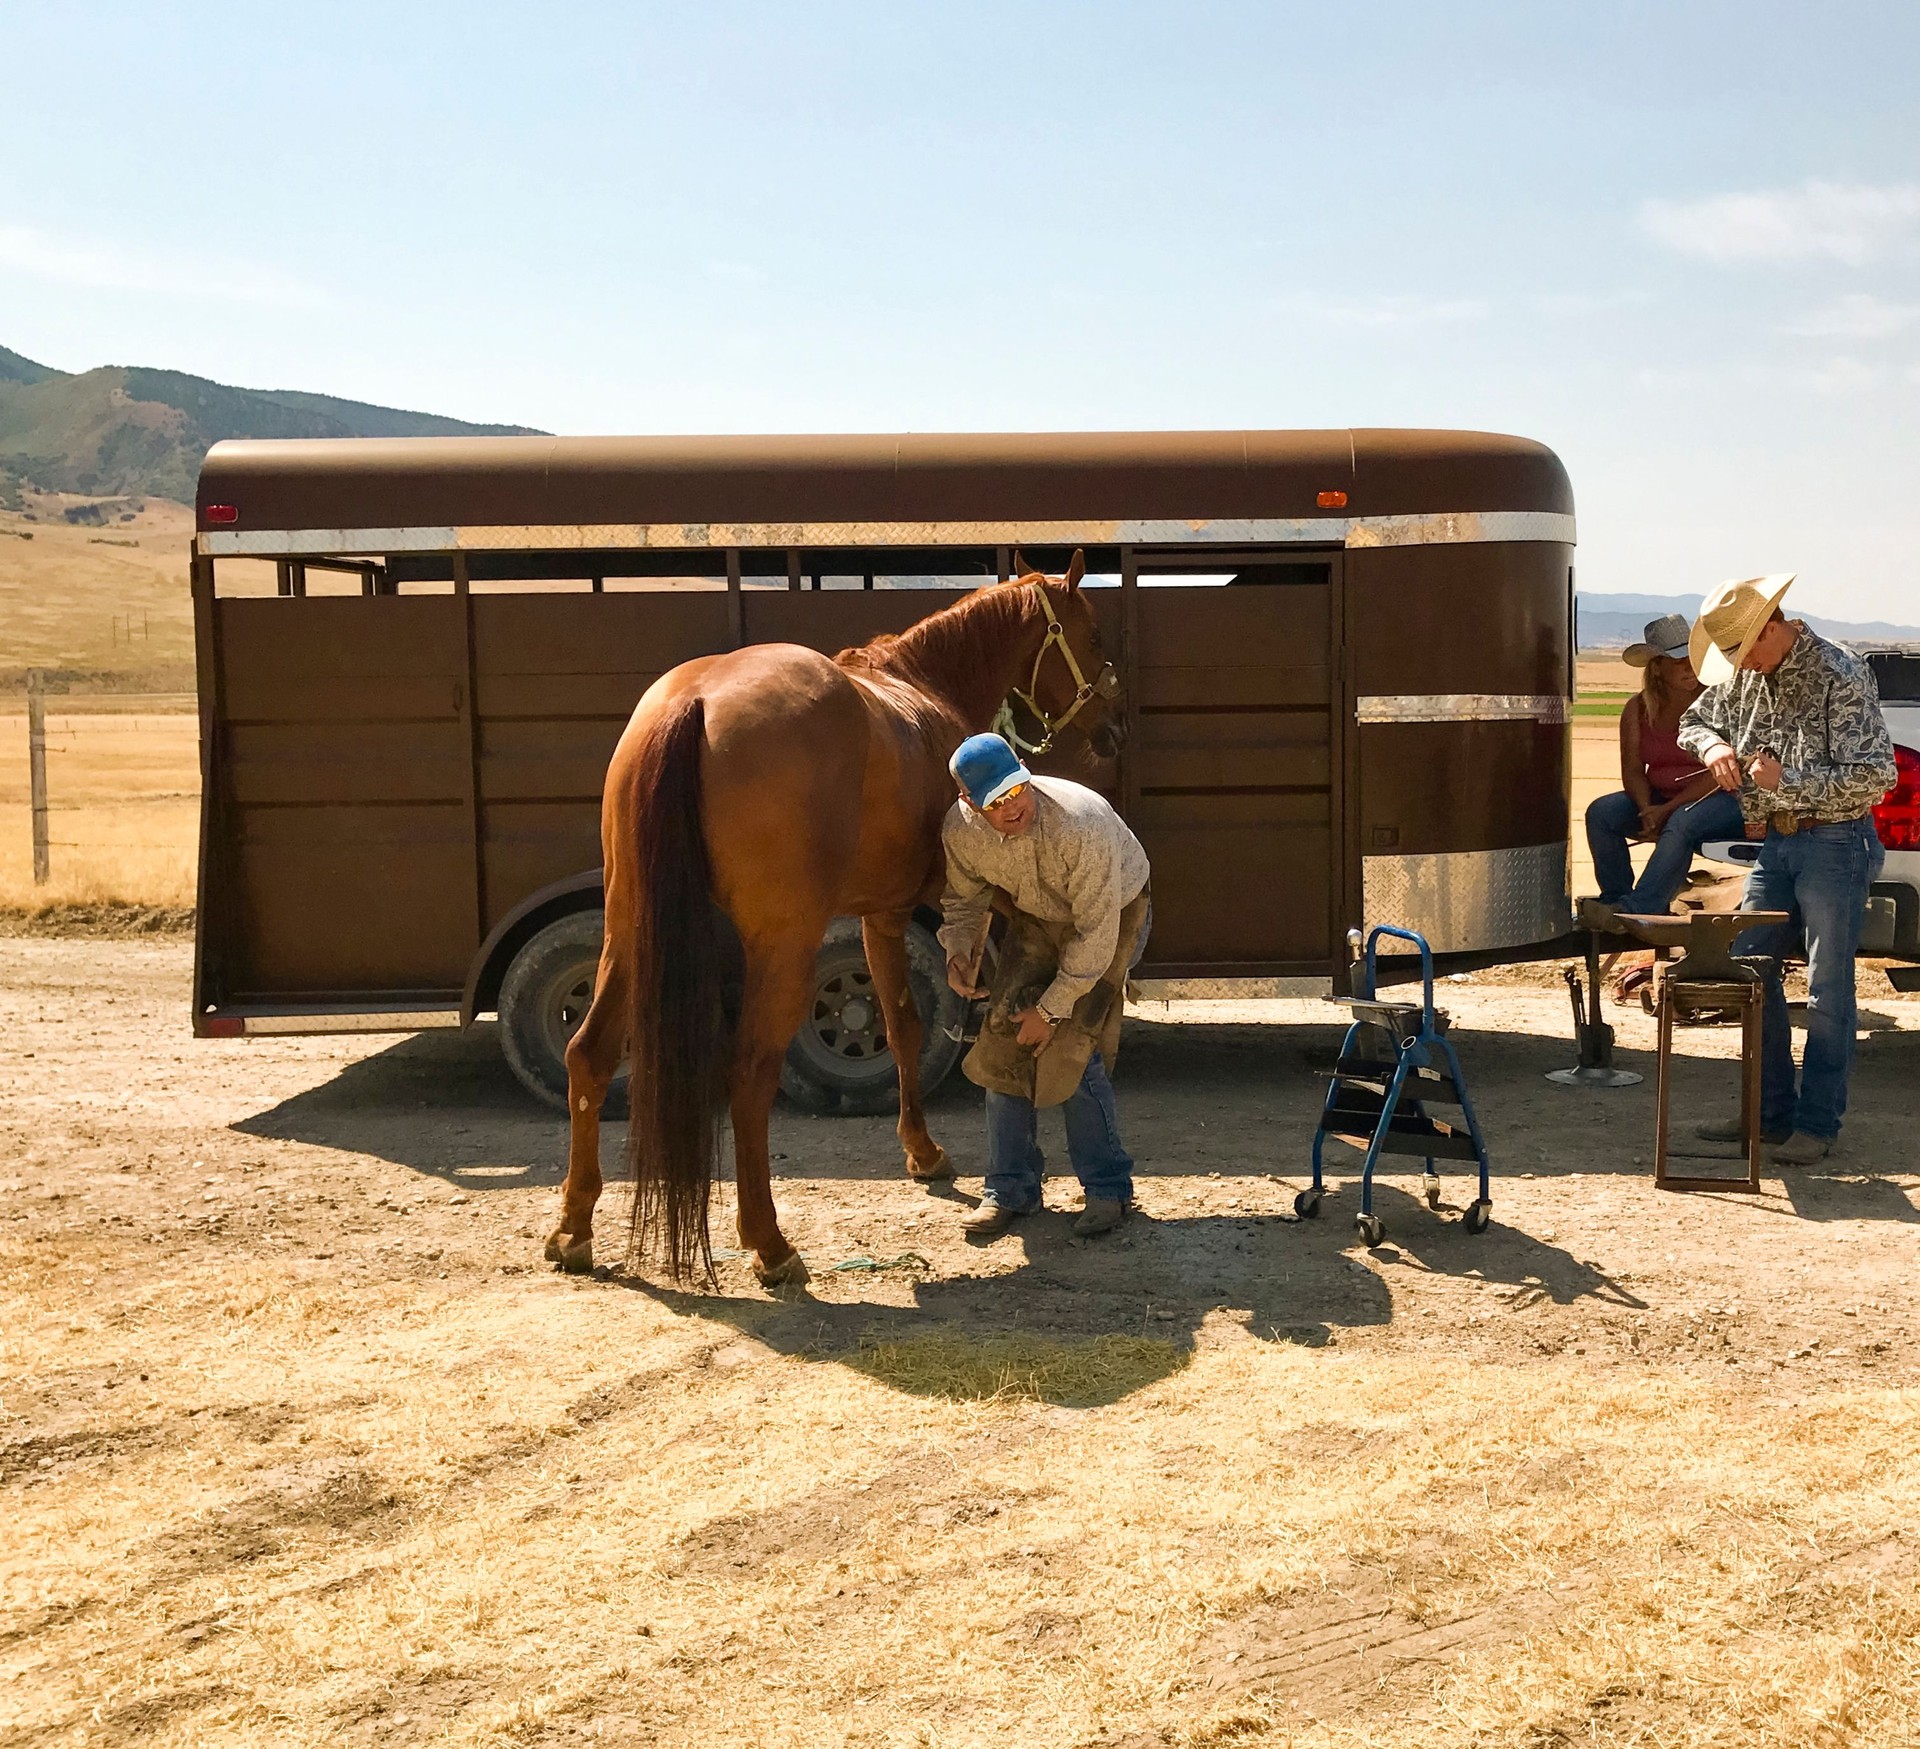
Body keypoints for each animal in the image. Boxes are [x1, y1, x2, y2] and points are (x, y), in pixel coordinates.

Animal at [541, 556, 1121, 1282]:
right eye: (1093, 635)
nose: (1111, 728)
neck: (919, 684)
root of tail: (694, 701)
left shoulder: (880, 916)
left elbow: (900, 1026)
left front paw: (920, 1149)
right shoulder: (939, 899)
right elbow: (916, 1019)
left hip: (628, 934)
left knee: (587, 1054)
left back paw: (573, 1229)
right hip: (781, 949)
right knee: (748, 1076)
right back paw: (770, 1244)